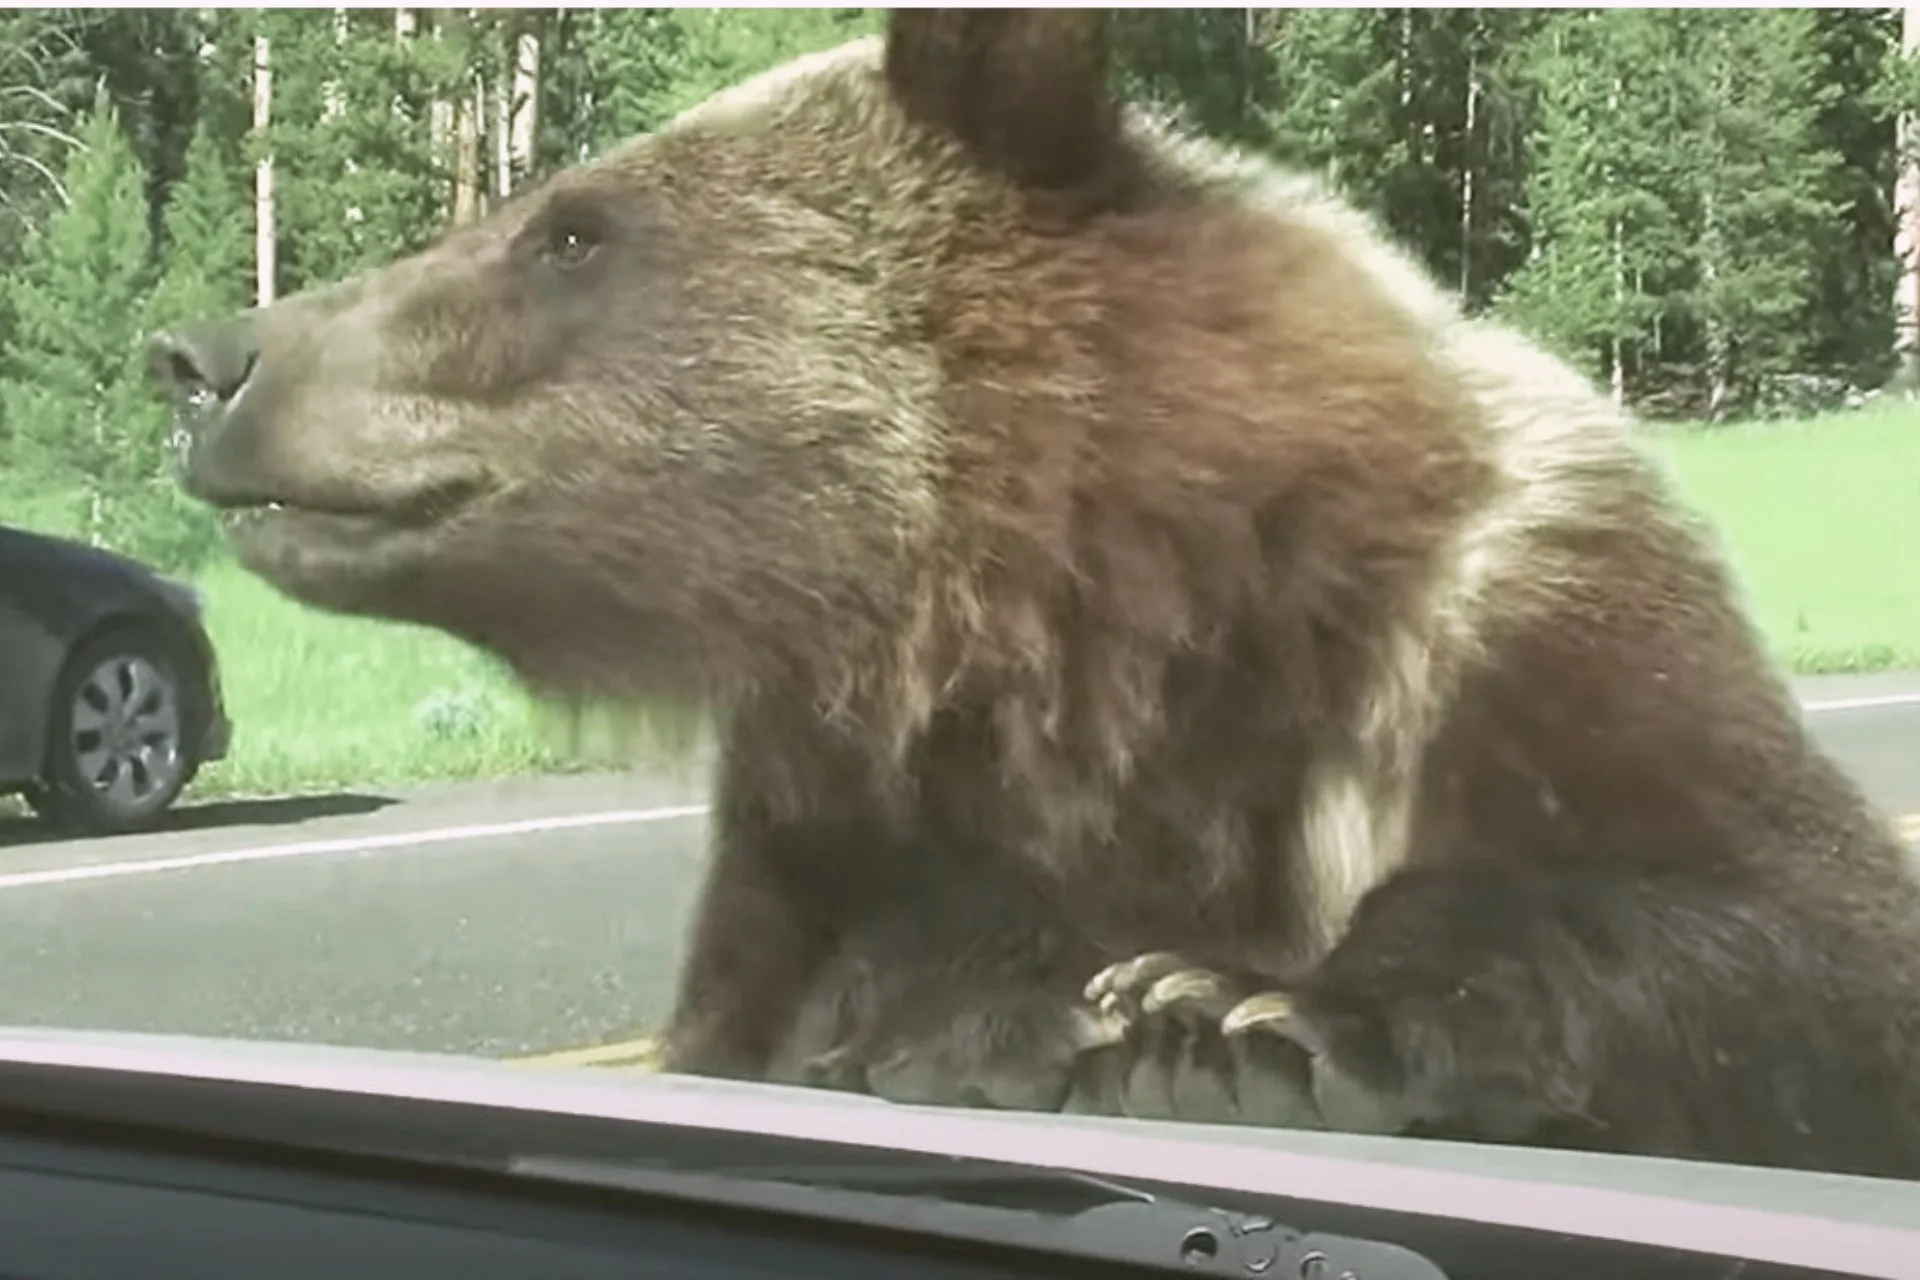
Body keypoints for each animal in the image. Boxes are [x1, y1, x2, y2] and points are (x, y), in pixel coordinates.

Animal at [145, 8, 1920, 1180]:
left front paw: (1230, 1011)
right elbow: (794, 1002)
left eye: (570, 231)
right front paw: (1022, 1016)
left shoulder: (1521, 632)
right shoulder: (836, 797)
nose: (209, 357)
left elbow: (1796, 944)